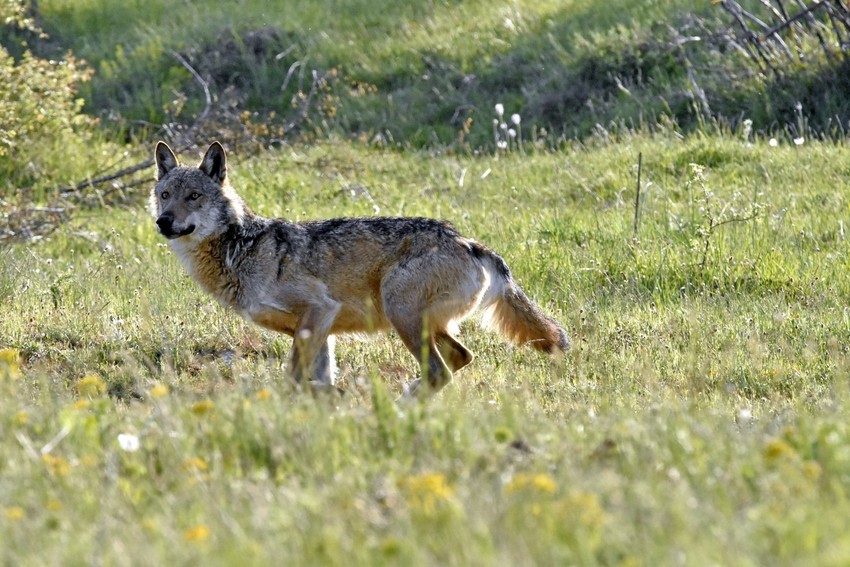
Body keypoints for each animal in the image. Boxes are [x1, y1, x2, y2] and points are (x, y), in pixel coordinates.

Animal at [151, 142, 568, 394]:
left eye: (194, 196)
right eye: (165, 195)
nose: (163, 221)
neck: (243, 247)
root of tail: (469, 242)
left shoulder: (319, 311)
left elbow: (294, 378)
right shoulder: (319, 331)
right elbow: (318, 384)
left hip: (402, 315)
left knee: (441, 370)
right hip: (427, 325)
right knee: (460, 359)